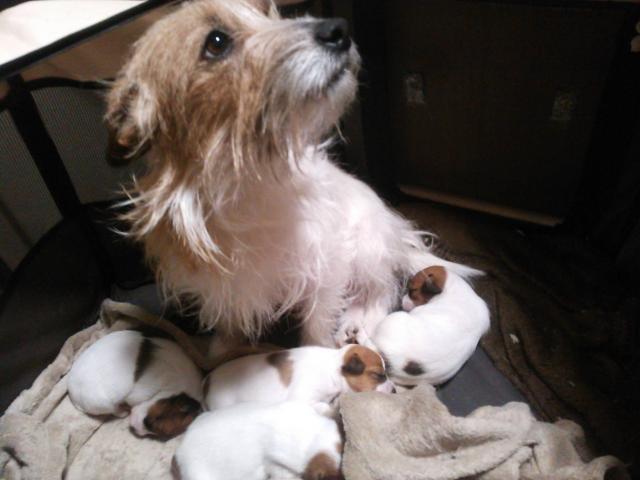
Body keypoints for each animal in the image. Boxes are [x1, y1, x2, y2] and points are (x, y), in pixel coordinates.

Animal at [67, 330, 203, 438]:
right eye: (150, 422)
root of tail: (73, 396)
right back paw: (123, 411)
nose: (134, 429)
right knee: (115, 411)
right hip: (107, 404)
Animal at [106, 0, 479, 350]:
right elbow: (228, 326)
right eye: (216, 42)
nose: (338, 30)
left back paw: (358, 321)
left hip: (368, 247)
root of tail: (397, 235)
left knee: (381, 289)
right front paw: (219, 358)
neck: (246, 180)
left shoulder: (326, 265)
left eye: (268, 12)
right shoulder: (223, 288)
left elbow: (317, 324)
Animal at [202, 344, 394, 411]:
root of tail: (207, 380)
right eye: (378, 375)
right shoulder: (302, 399)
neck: (332, 368)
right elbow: (323, 405)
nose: (394, 391)